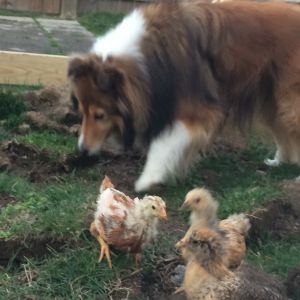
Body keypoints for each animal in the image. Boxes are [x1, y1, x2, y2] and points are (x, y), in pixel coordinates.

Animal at [68, 0, 300, 192]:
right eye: (82, 112)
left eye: (100, 115)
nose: (82, 150)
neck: (149, 58)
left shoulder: (197, 112)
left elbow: (163, 143)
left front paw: (148, 178)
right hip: (272, 101)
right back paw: (279, 162)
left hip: (289, 102)